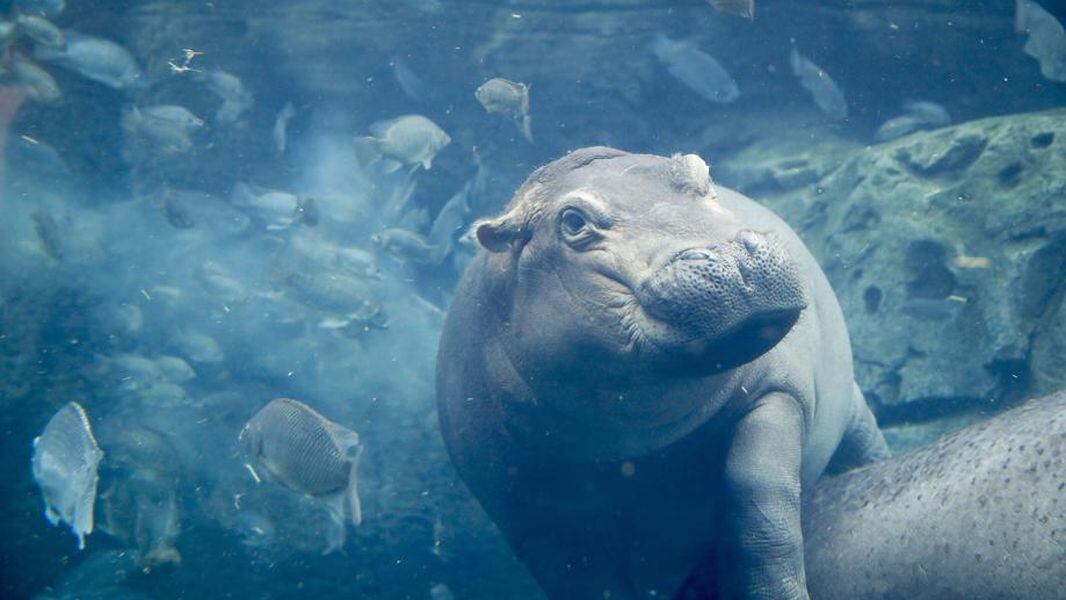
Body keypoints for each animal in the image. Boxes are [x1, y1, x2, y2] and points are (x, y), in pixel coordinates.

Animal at [437, 147, 886, 600]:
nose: (732, 258)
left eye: (701, 172)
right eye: (573, 221)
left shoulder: (776, 393)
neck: (633, 440)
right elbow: (581, 577)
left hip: (852, 408)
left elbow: (759, 502)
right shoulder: (520, 508)